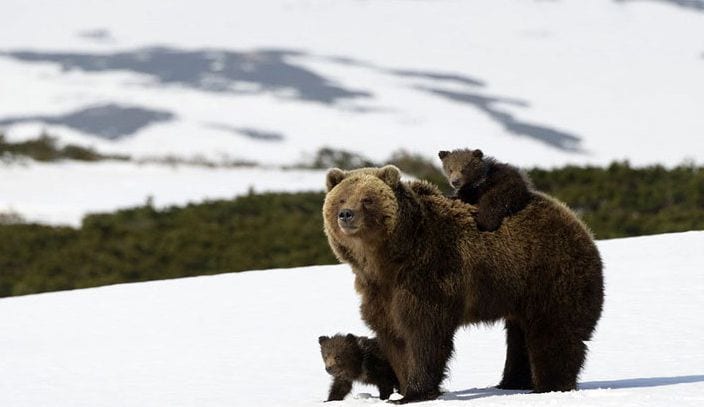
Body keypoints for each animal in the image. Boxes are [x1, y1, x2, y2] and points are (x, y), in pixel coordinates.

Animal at [322, 165, 604, 404]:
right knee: (519, 335)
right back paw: (512, 382)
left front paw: (415, 392)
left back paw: (549, 385)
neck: (387, 261)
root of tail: (576, 220)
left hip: (549, 273)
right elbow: (394, 336)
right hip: (518, 291)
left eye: (367, 199)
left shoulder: (428, 275)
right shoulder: (379, 292)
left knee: (554, 331)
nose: (346, 215)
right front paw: (400, 388)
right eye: (341, 199)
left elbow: (423, 333)